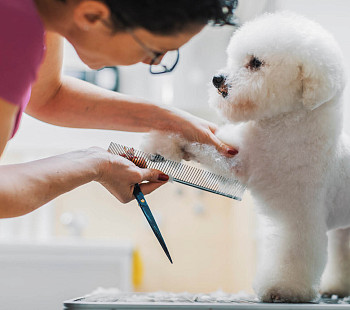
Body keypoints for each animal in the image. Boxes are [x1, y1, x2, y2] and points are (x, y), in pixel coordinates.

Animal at [142, 12, 350, 302]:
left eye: (255, 63)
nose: (217, 78)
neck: (280, 129)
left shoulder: (299, 217)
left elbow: (293, 254)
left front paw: (283, 290)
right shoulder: (239, 159)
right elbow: (206, 146)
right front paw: (164, 144)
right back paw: (337, 287)